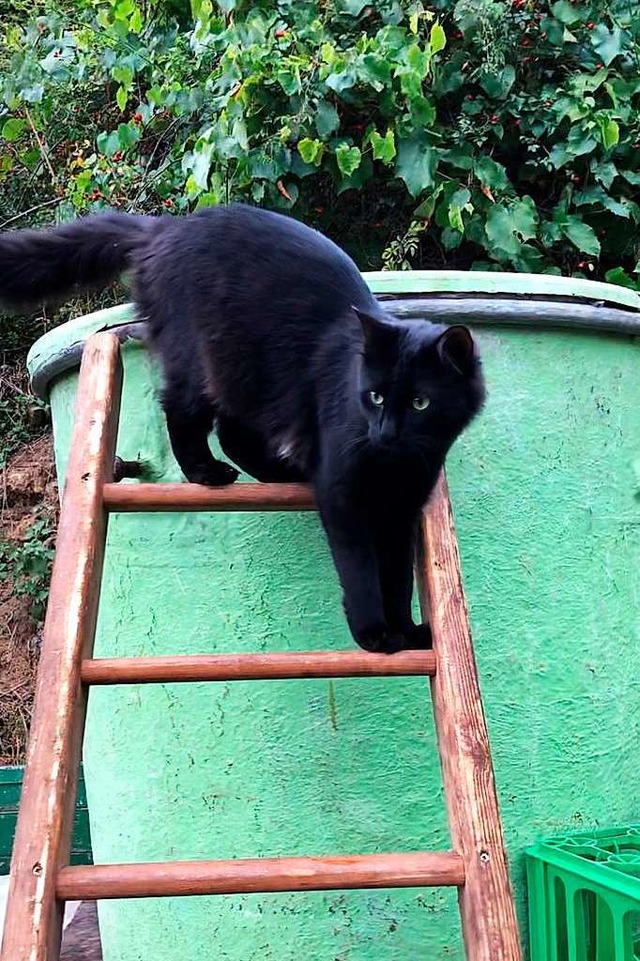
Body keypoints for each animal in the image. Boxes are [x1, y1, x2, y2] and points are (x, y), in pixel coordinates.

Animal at [0, 204, 484, 652]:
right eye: (376, 397)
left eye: (420, 403)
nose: (385, 433)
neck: (394, 464)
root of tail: (167, 226)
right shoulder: (345, 496)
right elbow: (361, 569)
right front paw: (374, 634)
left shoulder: (401, 510)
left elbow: (398, 578)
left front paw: (406, 630)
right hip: (203, 362)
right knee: (183, 415)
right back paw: (206, 472)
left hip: (248, 381)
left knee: (234, 436)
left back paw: (283, 473)